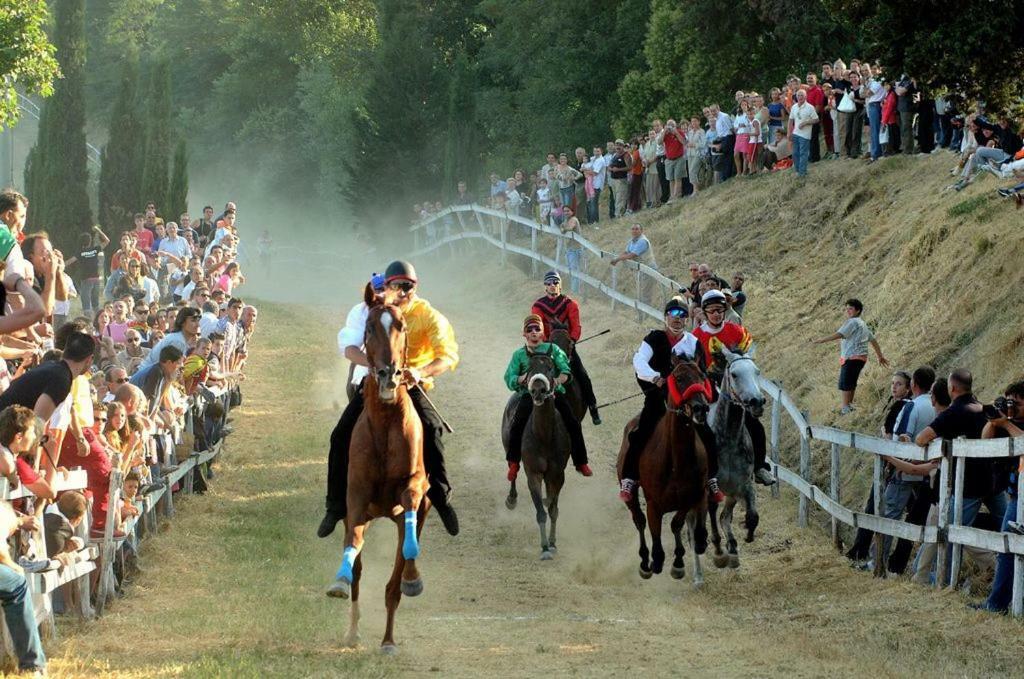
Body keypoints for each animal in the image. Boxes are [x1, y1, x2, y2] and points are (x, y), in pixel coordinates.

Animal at [323, 292, 428, 659]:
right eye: (369, 327)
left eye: (402, 325)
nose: (388, 375)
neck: (384, 427)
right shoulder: (356, 498)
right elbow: (353, 546)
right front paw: (339, 581)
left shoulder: (415, 488)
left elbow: (409, 511)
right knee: (357, 567)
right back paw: (353, 631)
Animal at [501, 348, 573, 561]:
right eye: (528, 368)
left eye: (550, 367)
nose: (538, 390)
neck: (544, 436)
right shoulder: (533, 473)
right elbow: (541, 511)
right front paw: (544, 548)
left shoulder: (557, 474)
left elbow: (553, 508)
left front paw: (553, 543)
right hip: (509, 447)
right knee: (513, 469)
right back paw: (511, 499)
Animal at [614, 360, 712, 589]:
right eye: (678, 378)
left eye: (702, 376)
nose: (700, 408)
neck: (676, 461)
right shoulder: (653, 504)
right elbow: (654, 531)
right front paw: (656, 560)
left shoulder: (691, 496)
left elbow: (677, 523)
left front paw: (678, 564)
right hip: (629, 491)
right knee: (638, 520)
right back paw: (644, 563)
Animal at [708, 346, 765, 569]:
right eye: (734, 374)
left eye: (757, 371)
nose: (757, 402)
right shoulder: (710, 489)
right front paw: (719, 553)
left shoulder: (744, 485)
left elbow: (753, 516)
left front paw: (747, 536)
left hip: (731, 494)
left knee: (725, 517)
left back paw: (732, 546)